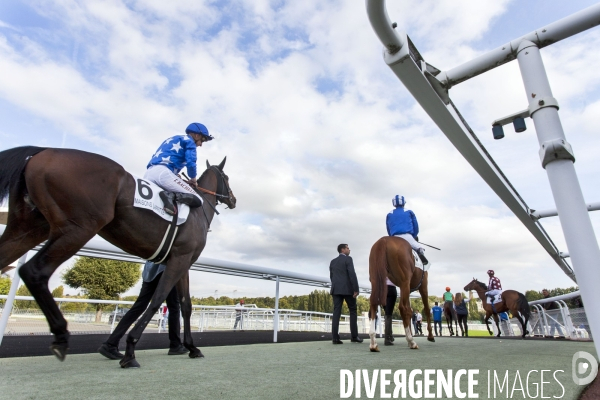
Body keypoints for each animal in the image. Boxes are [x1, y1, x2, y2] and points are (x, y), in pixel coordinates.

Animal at [0, 145, 237, 368]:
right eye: (226, 178)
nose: (233, 199)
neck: (198, 210)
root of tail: (41, 152)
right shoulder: (180, 258)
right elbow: (158, 299)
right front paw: (131, 350)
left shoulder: (183, 261)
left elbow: (186, 306)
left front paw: (192, 347)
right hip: (79, 228)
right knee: (34, 271)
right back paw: (62, 335)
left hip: (27, 229)